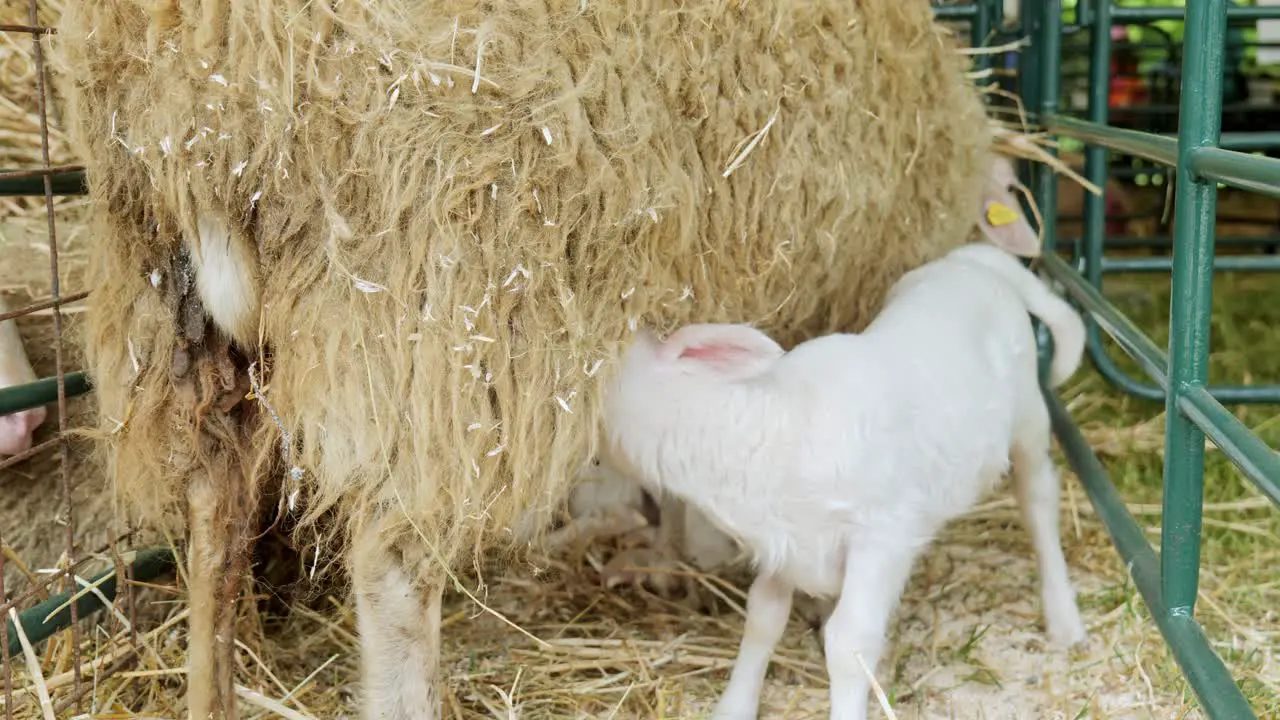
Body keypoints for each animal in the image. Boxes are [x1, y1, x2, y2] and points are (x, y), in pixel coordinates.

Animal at [599, 158, 1090, 717]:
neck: (769, 426)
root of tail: (971, 261)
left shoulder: (882, 536)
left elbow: (849, 643)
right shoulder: (786, 545)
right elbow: (762, 619)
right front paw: (735, 704)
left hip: (1029, 412)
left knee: (1038, 499)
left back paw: (1063, 617)